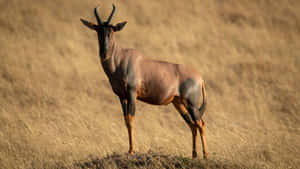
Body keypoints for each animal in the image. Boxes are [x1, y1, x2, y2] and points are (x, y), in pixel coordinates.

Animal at [81, 4, 207, 160]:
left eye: (112, 31)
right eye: (98, 30)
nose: (104, 53)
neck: (121, 58)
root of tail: (200, 78)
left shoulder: (132, 93)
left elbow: (131, 119)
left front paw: (131, 150)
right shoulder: (121, 96)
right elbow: (125, 120)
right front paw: (129, 149)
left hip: (192, 104)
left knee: (201, 123)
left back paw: (205, 155)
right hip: (179, 104)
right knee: (192, 125)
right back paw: (194, 155)